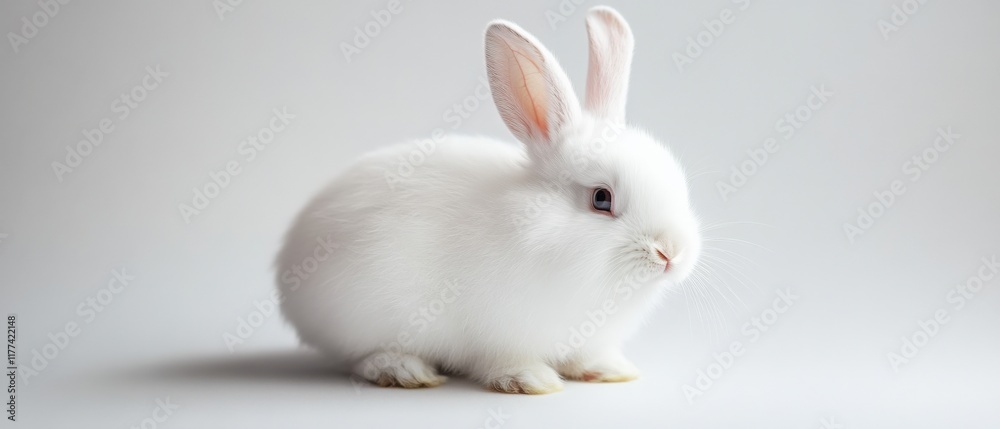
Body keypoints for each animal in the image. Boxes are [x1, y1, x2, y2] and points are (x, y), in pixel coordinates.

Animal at [276, 6, 701, 394]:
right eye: (601, 199)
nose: (670, 253)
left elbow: (587, 356)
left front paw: (611, 370)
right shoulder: (499, 332)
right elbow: (503, 361)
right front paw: (531, 380)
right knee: (360, 357)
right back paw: (403, 371)